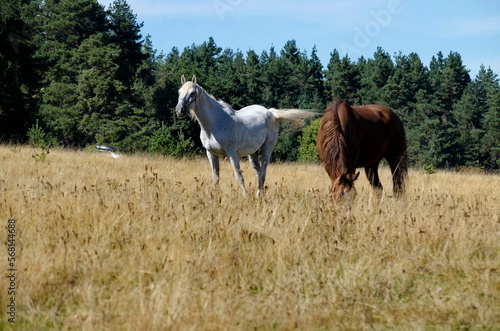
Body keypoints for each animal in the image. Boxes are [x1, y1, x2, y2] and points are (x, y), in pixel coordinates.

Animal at [176, 75, 316, 196]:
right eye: (179, 92)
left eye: (192, 93)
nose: (179, 110)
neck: (215, 122)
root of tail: (271, 112)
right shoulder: (211, 154)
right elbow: (216, 178)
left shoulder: (231, 153)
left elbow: (239, 177)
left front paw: (245, 196)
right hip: (253, 153)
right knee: (258, 172)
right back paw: (260, 194)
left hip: (267, 148)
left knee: (263, 172)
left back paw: (258, 196)